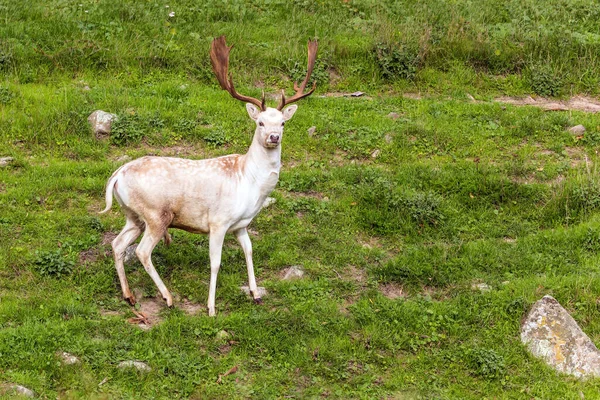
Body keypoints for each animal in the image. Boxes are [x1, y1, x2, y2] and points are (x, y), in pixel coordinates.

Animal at [99, 36, 318, 316]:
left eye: (282, 122)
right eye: (260, 122)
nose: (273, 137)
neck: (250, 183)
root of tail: (117, 174)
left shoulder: (241, 225)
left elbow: (249, 251)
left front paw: (256, 294)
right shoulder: (218, 221)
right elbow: (215, 262)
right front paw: (211, 307)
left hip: (133, 215)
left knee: (117, 244)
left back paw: (129, 296)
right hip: (156, 214)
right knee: (141, 251)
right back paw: (168, 298)